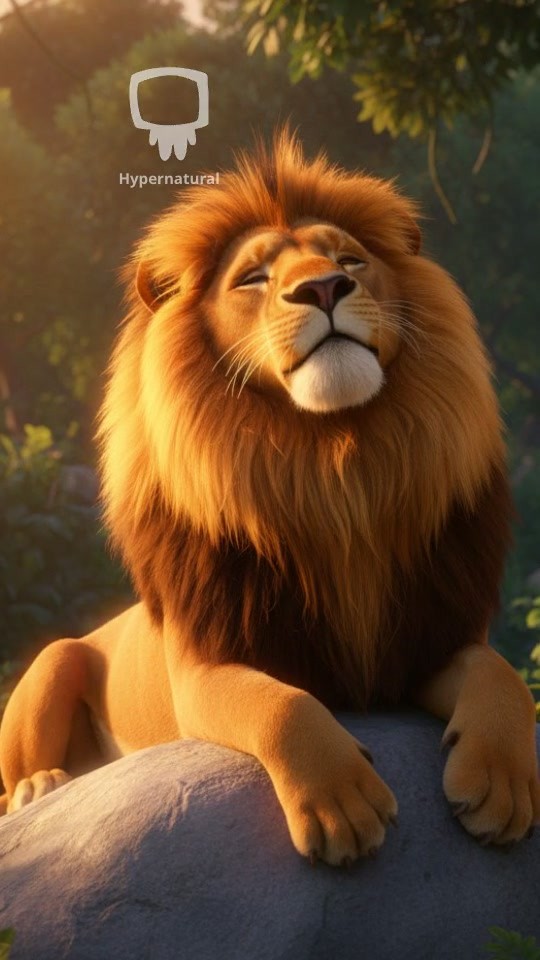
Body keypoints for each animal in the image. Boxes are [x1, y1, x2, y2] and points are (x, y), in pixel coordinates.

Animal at [0, 131, 538, 865]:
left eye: (349, 259)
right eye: (253, 277)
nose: (324, 287)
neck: (334, 471)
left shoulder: (429, 638)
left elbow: (502, 675)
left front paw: (501, 784)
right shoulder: (204, 668)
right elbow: (282, 705)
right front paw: (341, 803)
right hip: (56, 659)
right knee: (16, 778)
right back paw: (43, 784)